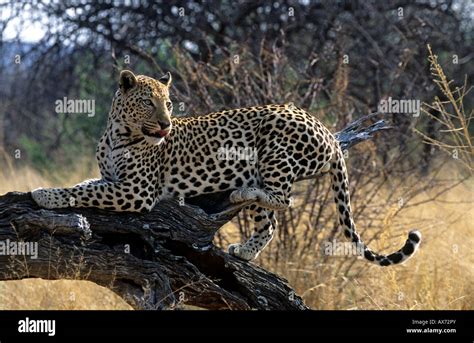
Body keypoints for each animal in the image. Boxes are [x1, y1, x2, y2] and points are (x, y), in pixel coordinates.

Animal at [30, 69, 422, 264]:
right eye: (148, 102)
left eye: (168, 103)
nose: (166, 124)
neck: (117, 133)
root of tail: (326, 129)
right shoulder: (113, 179)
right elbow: (88, 184)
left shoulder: (136, 192)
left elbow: (84, 191)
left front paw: (45, 194)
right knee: (271, 223)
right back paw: (245, 250)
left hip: (275, 145)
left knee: (284, 199)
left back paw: (241, 191)